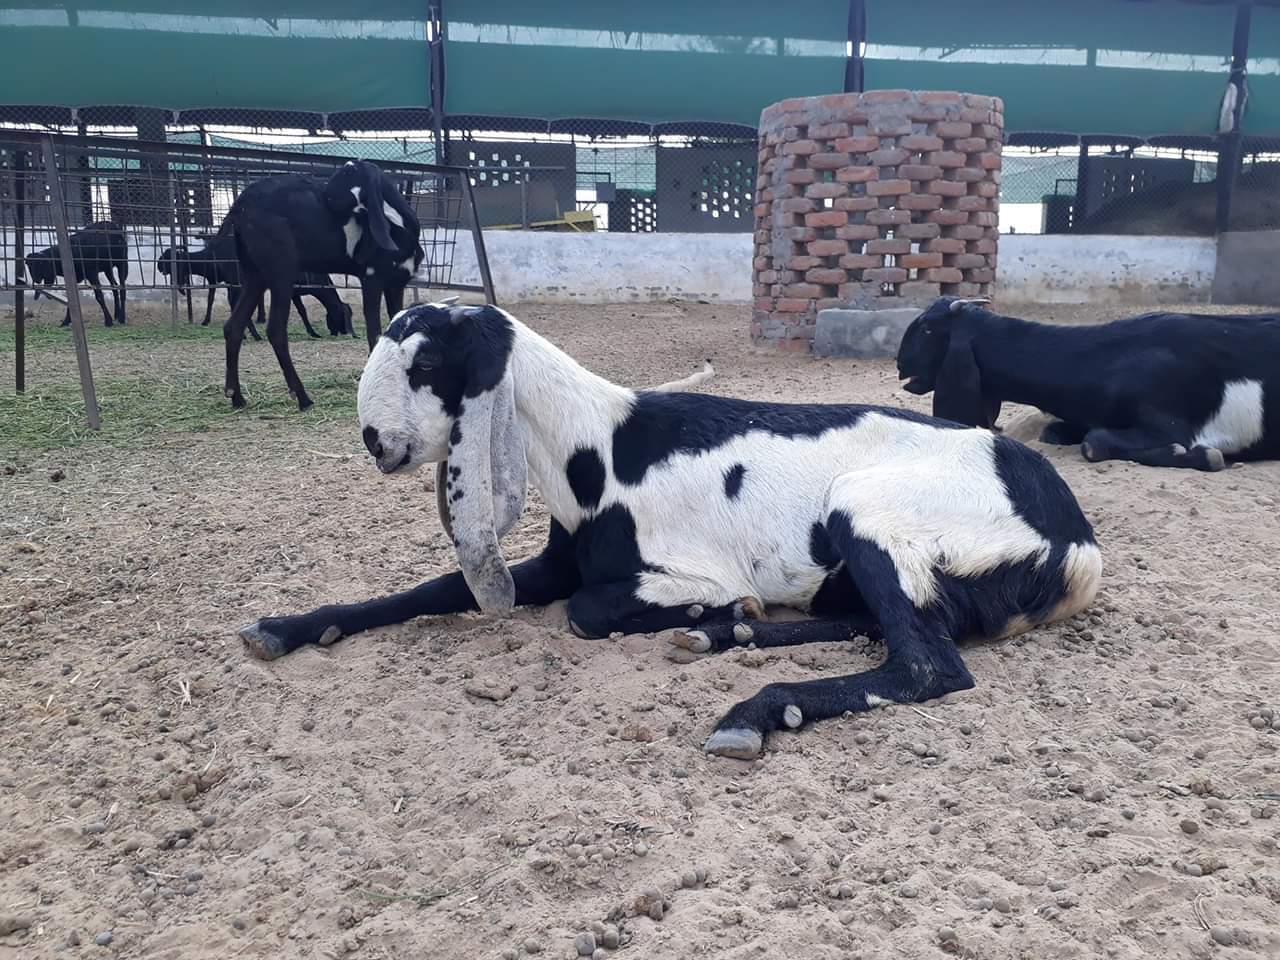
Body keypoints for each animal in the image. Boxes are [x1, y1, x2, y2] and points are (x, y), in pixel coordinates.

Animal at [222, 161, 424, 410]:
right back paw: (302, 397)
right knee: (276, 330)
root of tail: (240, 207)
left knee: (234, 327)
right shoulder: (372, 280)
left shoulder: (396, 284)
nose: (325, 195)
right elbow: (374, 333)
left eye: (347, 173)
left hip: (255, 275)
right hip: (281, 271)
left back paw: (237, 397)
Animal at [238, 303, 1101, 760]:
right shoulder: (556, 562)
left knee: (926, 664)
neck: (597, 445)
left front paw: (709, 611)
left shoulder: (679, 569)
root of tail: (1076, 539)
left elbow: (588, 612)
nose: (375, 442)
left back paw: (754, 705)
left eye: (425, 367)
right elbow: (430, 587)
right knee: (871, 626)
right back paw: (730, 639)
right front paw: (286, 627)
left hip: (870, 511)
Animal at [897, 297, 1280, 471]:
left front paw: (1201, 456)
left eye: (928, 328)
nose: (900, 364)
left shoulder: (1169, 420)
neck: (1109, 359)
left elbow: (1094, 443)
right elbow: (1055, 431)